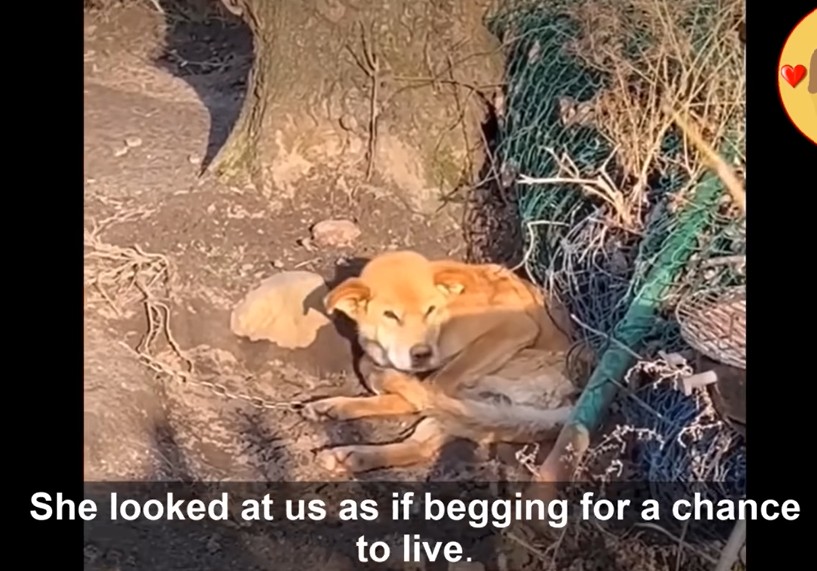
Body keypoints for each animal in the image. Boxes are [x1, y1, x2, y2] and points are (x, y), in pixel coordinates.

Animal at [303, 250, 591, 475]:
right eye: (390, 315)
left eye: (430, 310)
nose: (421, 354)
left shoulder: (514, 327)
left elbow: (428, 383)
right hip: (481, 409)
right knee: (422, 438)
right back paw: (345, 441)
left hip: (496, 377)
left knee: (427, 398)